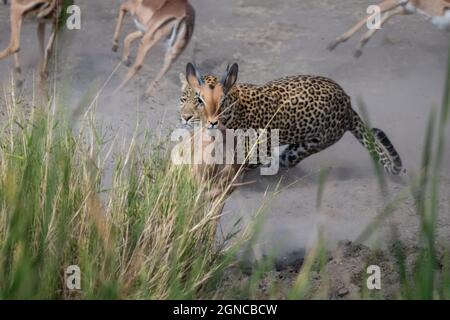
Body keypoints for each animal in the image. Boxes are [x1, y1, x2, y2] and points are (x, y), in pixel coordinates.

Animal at [179, 61, 404, 174]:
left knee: (288, 159)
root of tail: (348, 103)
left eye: (202, 100)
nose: (185, 117)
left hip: (311, 143)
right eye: (184, 99)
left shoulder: (257, 149)